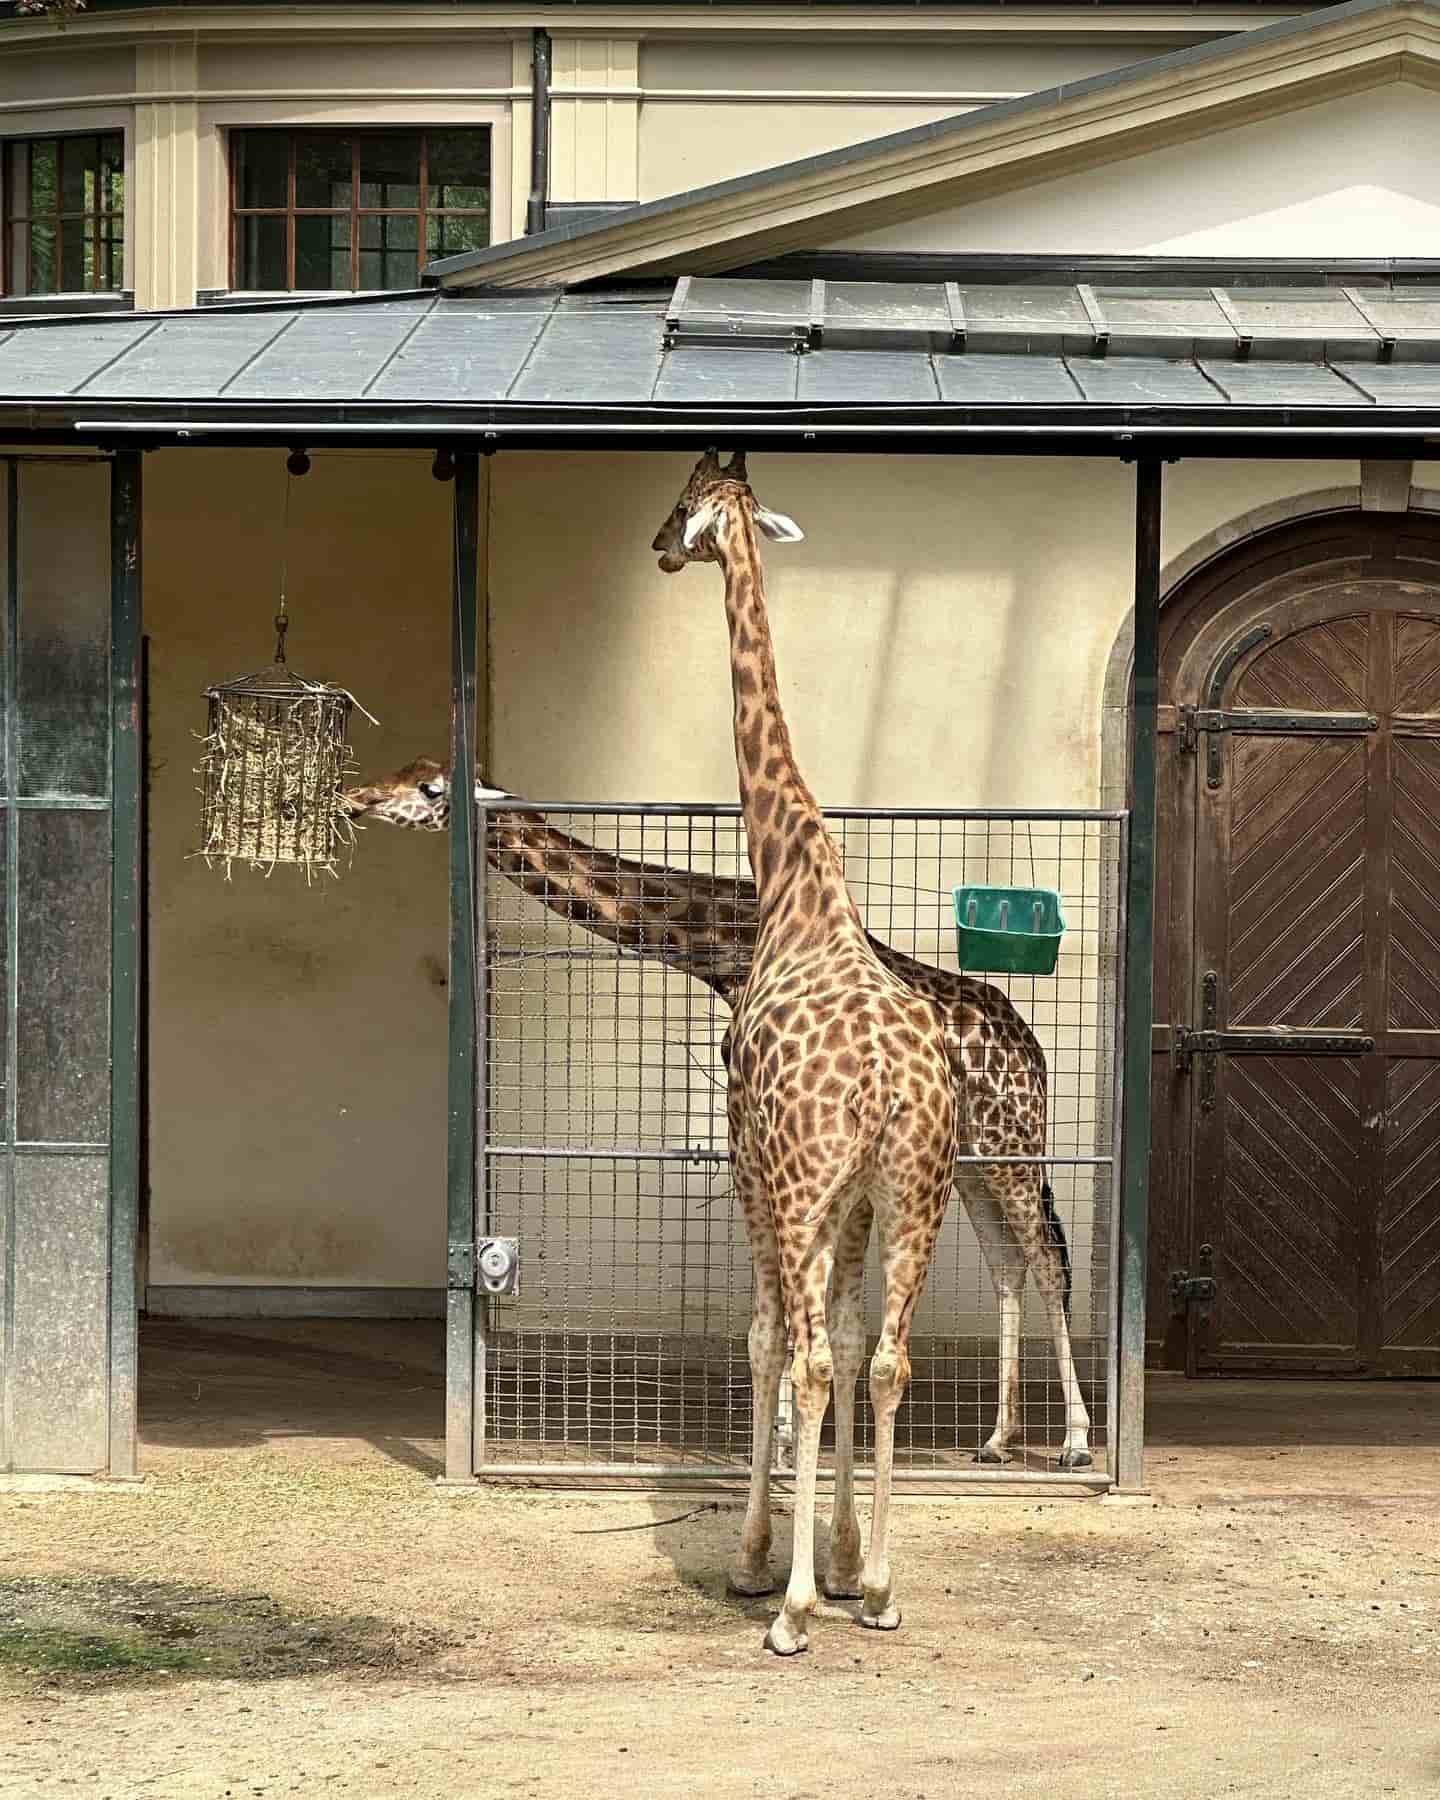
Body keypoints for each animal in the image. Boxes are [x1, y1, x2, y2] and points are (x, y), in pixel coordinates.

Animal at [341, 761, 1092, 1473]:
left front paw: (784, 1443)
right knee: (1007, 1266)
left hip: (1012, 1145)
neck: (719, 942)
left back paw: (1076, 1443)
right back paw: (996, 1439)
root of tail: (1034, 1054)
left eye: (430, 787)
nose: (354, 800)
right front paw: (786, 1439)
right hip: (966, 1163)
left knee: (1048, 1262)